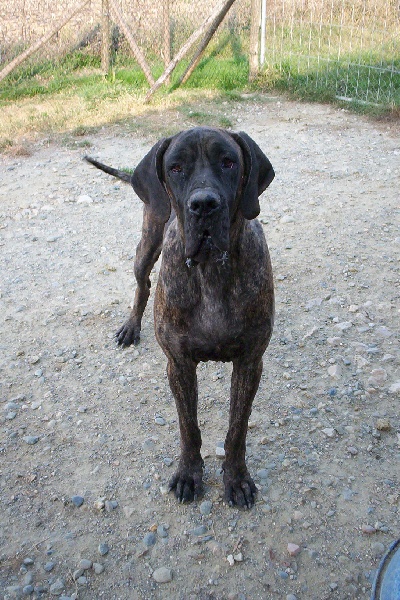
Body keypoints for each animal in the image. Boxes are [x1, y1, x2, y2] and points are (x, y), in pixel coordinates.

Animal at [85, 125, 276, 506]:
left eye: (229, 162)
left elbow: (237, 427)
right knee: (142, 285)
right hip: (146, 246)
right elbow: (188, 426)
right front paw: (189, 474)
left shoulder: (250, 362)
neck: (211, 270)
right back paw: (131, 326)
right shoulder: (179, 363)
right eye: (175, 168)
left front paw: (236, 478)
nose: (204, 205)